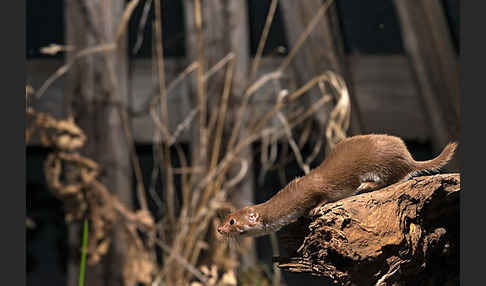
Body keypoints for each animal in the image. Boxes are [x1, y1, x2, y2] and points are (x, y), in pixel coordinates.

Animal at [218, 134, 458, 237]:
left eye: (232, 221)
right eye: (225, 217)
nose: (219, 229)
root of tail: (408, 156)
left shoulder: (315, 189)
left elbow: (322, 196)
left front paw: (315, 208)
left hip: (382, 164)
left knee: (395, 177)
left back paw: (366, 185)